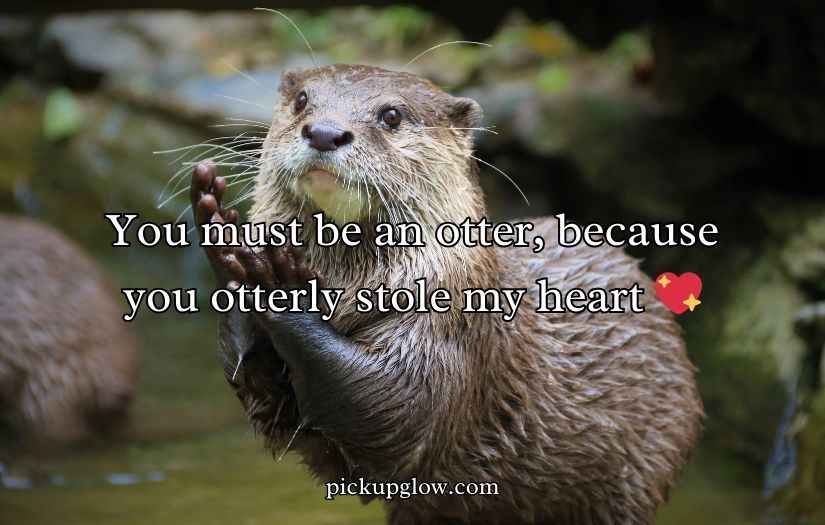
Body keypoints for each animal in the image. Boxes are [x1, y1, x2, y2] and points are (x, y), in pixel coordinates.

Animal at [189, 65, 703, 524]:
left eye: (392, 115)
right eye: (302, 101)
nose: (325, 132)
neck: (349, 290)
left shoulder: (452, 333)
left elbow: (390, 407)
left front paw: (281, 286)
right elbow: (273, 411)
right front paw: (220, 233)